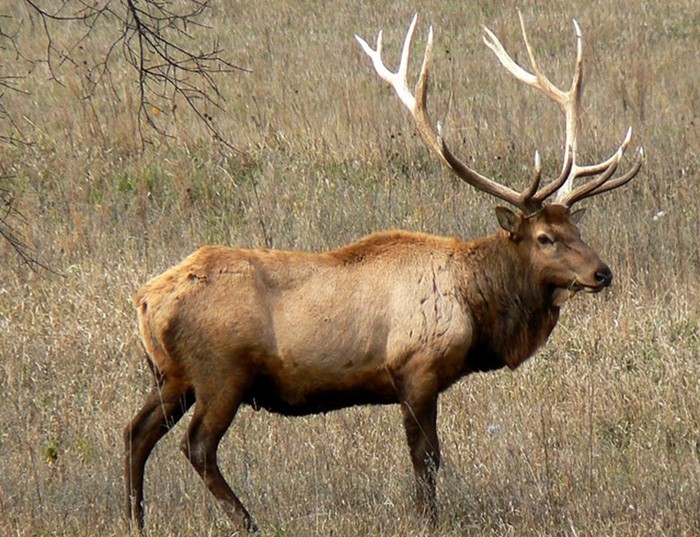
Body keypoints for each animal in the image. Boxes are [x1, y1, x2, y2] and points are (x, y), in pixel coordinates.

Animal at [127, 12, 644, 532]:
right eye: (544, 238)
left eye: (576, 227)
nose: (602, 273)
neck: (476, 308)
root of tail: (145, 299)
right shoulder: (415, 368)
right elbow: (427, 458)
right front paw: (429, 520)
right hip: (220, 372)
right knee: (196, 445)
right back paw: (248, 521)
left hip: (171, 376)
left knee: (136, 432)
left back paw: (137, 519)